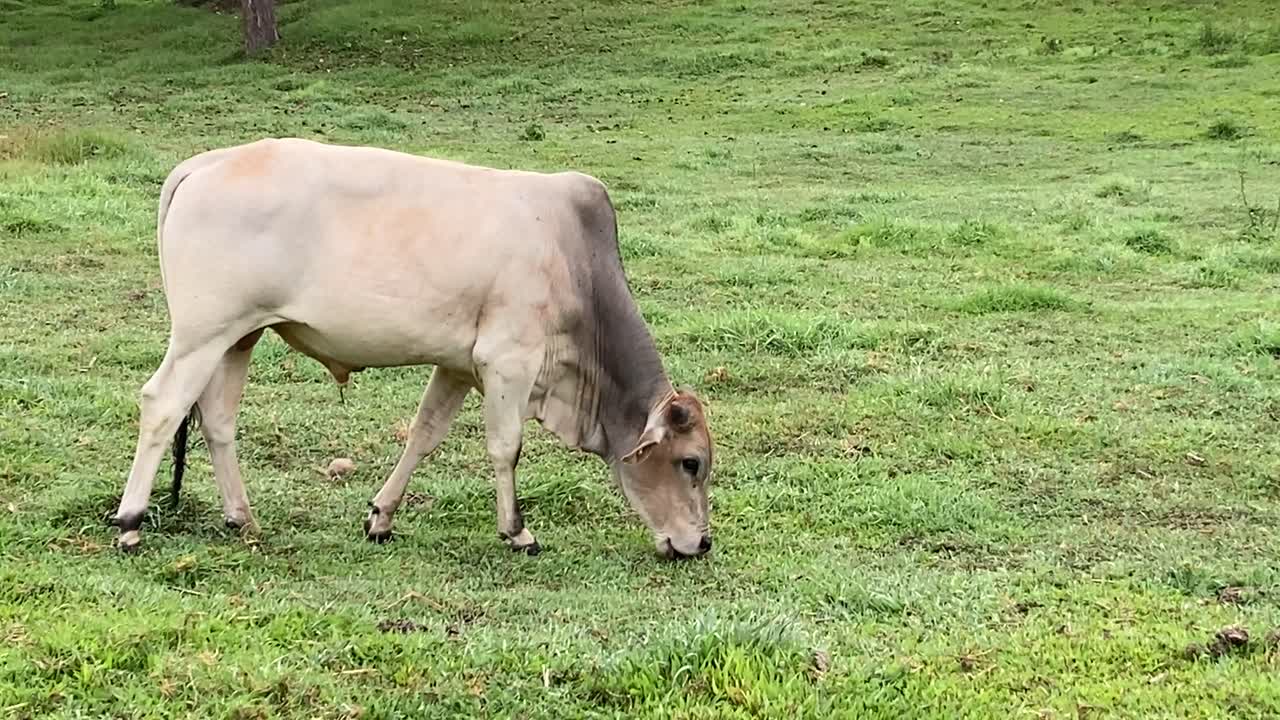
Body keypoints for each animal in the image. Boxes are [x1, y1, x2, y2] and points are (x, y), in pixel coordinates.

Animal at [109, 138, 715, 560]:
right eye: (691, 462)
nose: (702, 543)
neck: (578, 269)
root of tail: (203, 164)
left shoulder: (459, 365)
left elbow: (424, 435)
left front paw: (381, 516)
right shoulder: (509, 360)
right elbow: (506, 447)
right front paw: (517, 531)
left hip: (238, 336)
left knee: (217, 420)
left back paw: (241, 517)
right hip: (201, 334)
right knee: (162, 404)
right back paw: (131, 520)